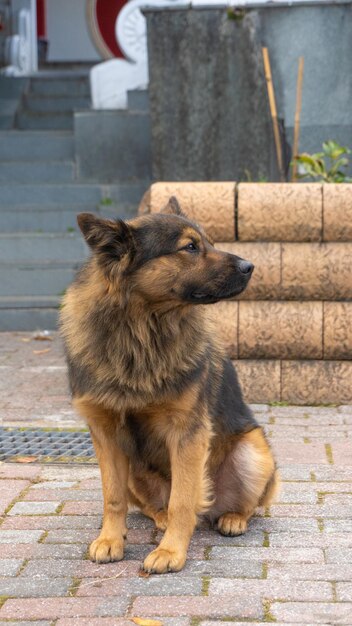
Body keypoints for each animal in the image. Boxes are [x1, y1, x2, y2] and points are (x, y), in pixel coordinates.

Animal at [60, 197, 280, 572]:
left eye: (207, 242)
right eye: (190, 247)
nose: (250, 266)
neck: (141, 331)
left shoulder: (187, 433)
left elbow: (183, 499)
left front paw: (170, 551)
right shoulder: (105, 433)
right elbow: (113, 498)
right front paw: (110, 539)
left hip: (253, 453)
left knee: (242, 505)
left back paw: (232, 518)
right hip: (133, 469)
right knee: (154, 505)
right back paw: (160, 517)